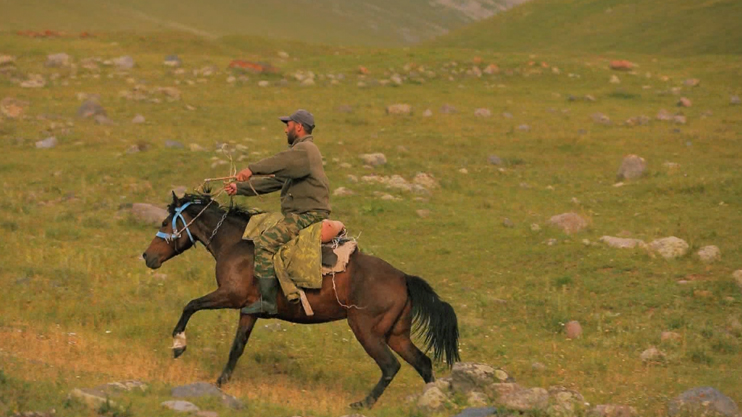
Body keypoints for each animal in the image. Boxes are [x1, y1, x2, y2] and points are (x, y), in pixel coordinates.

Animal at [142, 193, 462, 408]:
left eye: (165, 222)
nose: (147, 256)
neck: (237, 244)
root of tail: (403, 278)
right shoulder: (249, 310)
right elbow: (237, 347)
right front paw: (220, 383)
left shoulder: (231, 296)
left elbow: (190, 305)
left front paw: (178, 344)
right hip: (396, 334)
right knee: (423, 363)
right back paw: (430, 400)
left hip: (367, 331)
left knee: (390, 366)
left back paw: (363, 404)